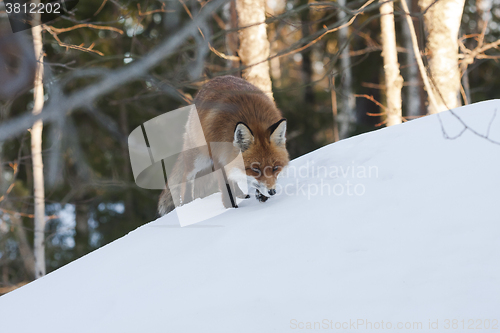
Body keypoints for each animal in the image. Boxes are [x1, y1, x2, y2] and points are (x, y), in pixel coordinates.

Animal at [156, 75, 290, 215]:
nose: (272, 192)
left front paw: (262, 196)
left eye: (275, 168)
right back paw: (188, 203)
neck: (253, 119)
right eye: (255, 169)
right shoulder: (218, 159)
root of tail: (216, 78)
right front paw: (231, 210)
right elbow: (227, 190)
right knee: (186, 176)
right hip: (199, 158)